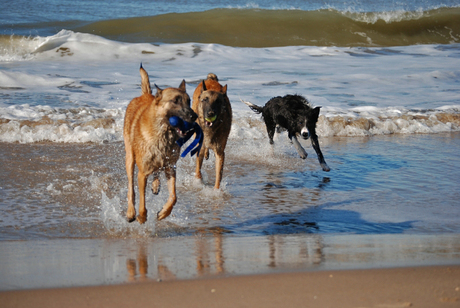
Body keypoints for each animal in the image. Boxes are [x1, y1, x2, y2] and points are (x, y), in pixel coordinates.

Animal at [123, 66, 197, 223]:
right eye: (175, 101)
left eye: (189, 101)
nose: (194, 116)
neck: (164, 134)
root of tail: (146, 94)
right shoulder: (142, 174)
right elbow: (142, 201)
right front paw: (141, 216)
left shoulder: (171, 167)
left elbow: (174, 196)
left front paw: (163, 212)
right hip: (130, 158)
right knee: (131, 188)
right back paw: (131, 212)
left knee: (156, 171)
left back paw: (156, 184)